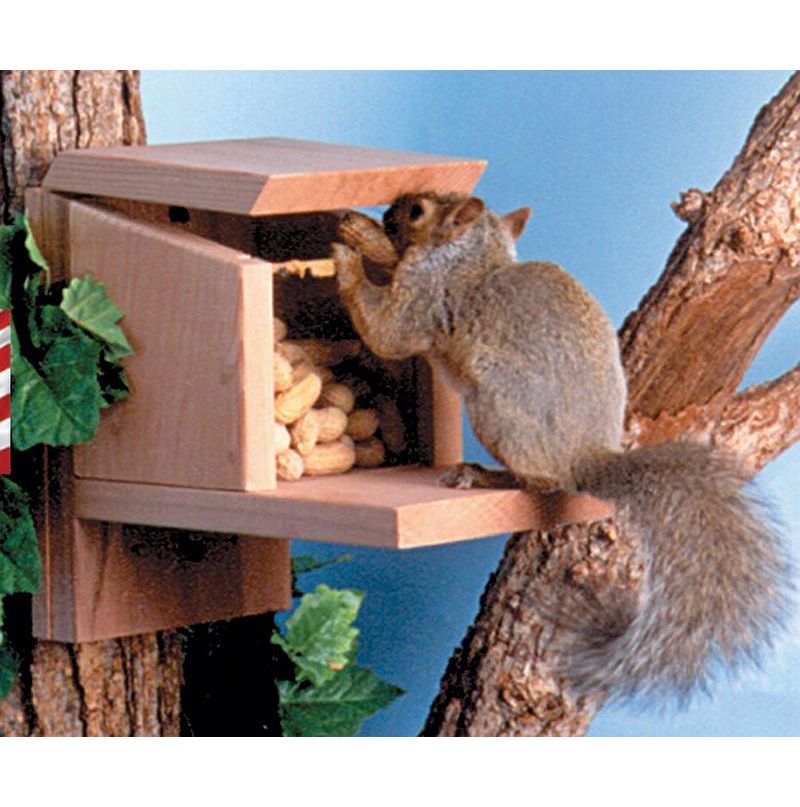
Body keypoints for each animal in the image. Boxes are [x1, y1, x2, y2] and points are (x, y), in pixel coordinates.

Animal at [331, 191, 792, 703]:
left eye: (417, 212)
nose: (389, 212)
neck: (471, 254)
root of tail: (584, 457)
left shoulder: (426, 292)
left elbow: (388, 332)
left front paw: (347, 260)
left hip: (495, 403)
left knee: (541, 482)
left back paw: (483, 474)